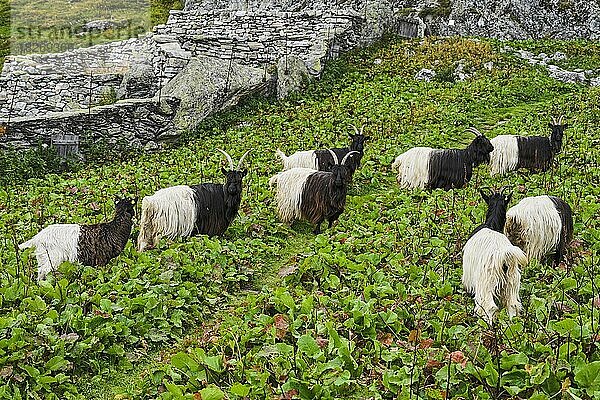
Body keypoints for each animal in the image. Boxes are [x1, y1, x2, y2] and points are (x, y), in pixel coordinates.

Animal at [462, 188, 528, 324]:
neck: (491, 225)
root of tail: (503, 257)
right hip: (512, 282)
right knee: (512, 305)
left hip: (487, 283)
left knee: (489, 307)